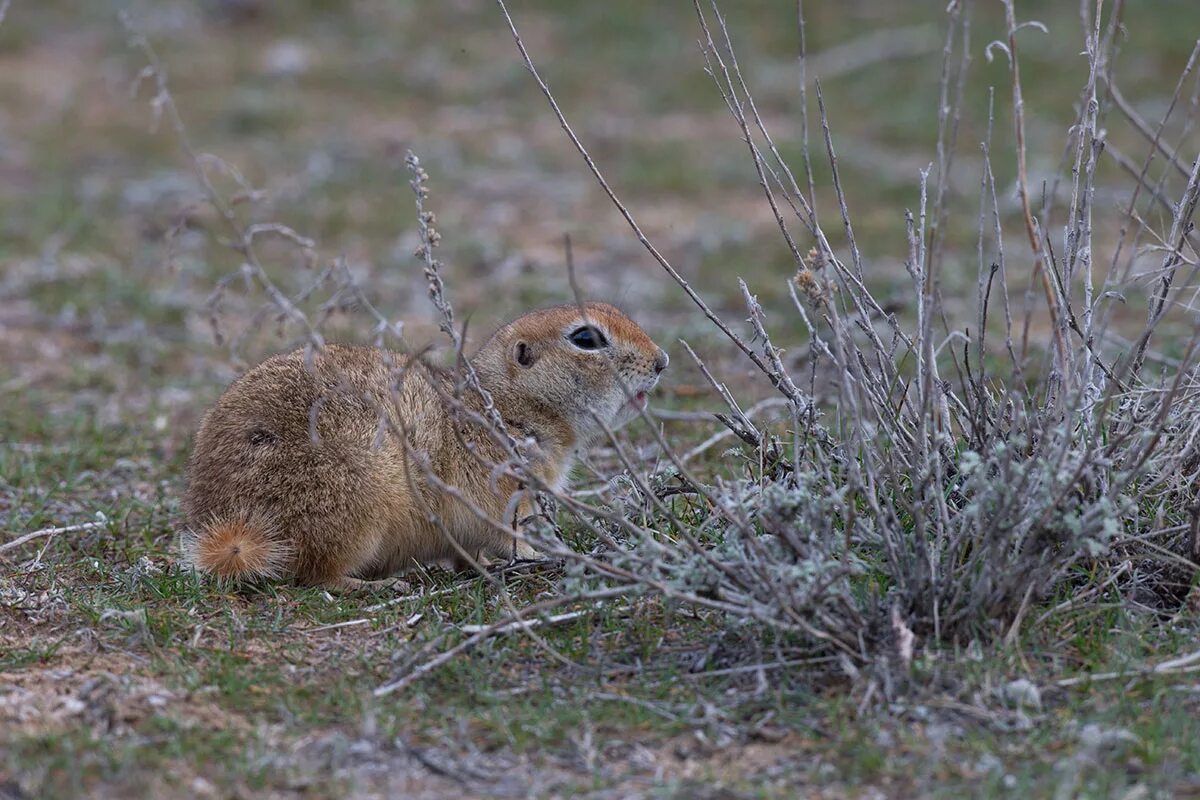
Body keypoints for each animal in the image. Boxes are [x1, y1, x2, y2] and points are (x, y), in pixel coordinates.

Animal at [180, 299, 667, 587]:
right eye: (586, 338)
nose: (662, 360)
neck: (505, 407)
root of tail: (232, 529)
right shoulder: (502, 492)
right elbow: (505, 534)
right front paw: (541, 556)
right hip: (353, 503)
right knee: (315, 575)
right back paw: (376, 584)